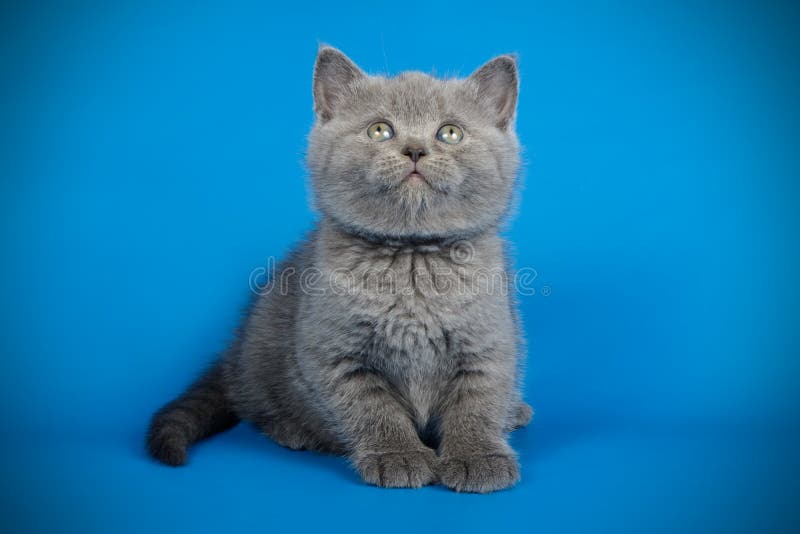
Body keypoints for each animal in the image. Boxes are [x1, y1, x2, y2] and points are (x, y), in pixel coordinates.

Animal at [147, 46, 536, 494]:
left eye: (450, 133)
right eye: (380, 131)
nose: (415, 150)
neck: (412, 259)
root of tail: (233, 353)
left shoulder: (489, 343)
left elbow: (478, 400)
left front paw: (478, 456)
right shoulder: (334, 353)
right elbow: (371, 406)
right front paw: (396, 455)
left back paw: (515, 412)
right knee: (256, 406)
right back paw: (294, 431)